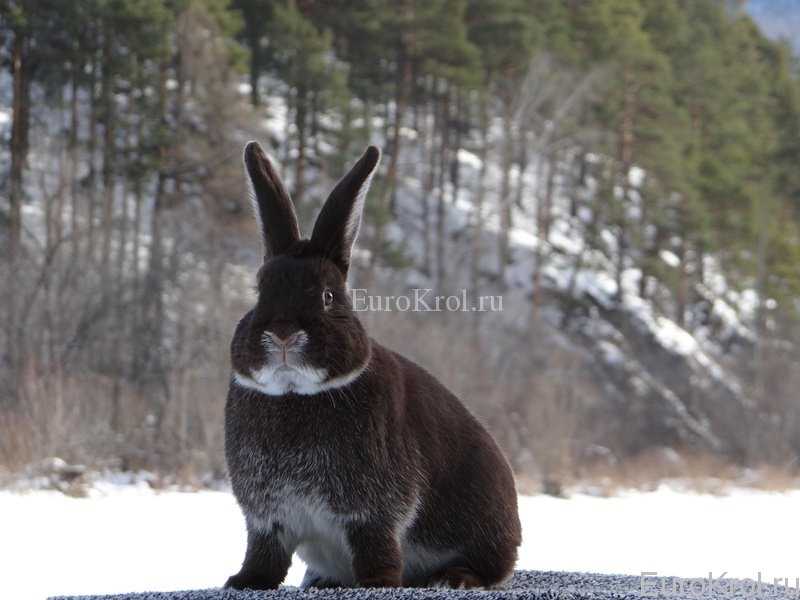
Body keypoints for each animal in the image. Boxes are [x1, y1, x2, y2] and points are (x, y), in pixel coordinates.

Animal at [222, 141, 520, 592]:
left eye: (328, 296)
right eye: (259, 292)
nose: (284, 334)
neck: (294, 393)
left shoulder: (373, 514)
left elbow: (376, 546)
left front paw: (379, 581)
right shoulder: (267, 519)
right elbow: (264, 555)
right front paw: (243, 581)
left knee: (492, 567)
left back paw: (456, 577)